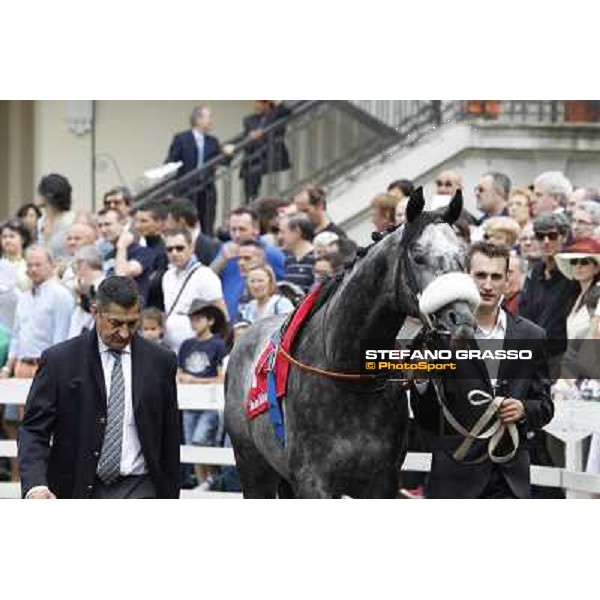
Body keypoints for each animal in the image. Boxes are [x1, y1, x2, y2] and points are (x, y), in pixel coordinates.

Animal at [224, 189, 474, 496]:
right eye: (417, 256)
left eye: (463, 255)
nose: (460, 319)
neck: (347, 377)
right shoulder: (312, 481)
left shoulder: (383, 481)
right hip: (253, 468)